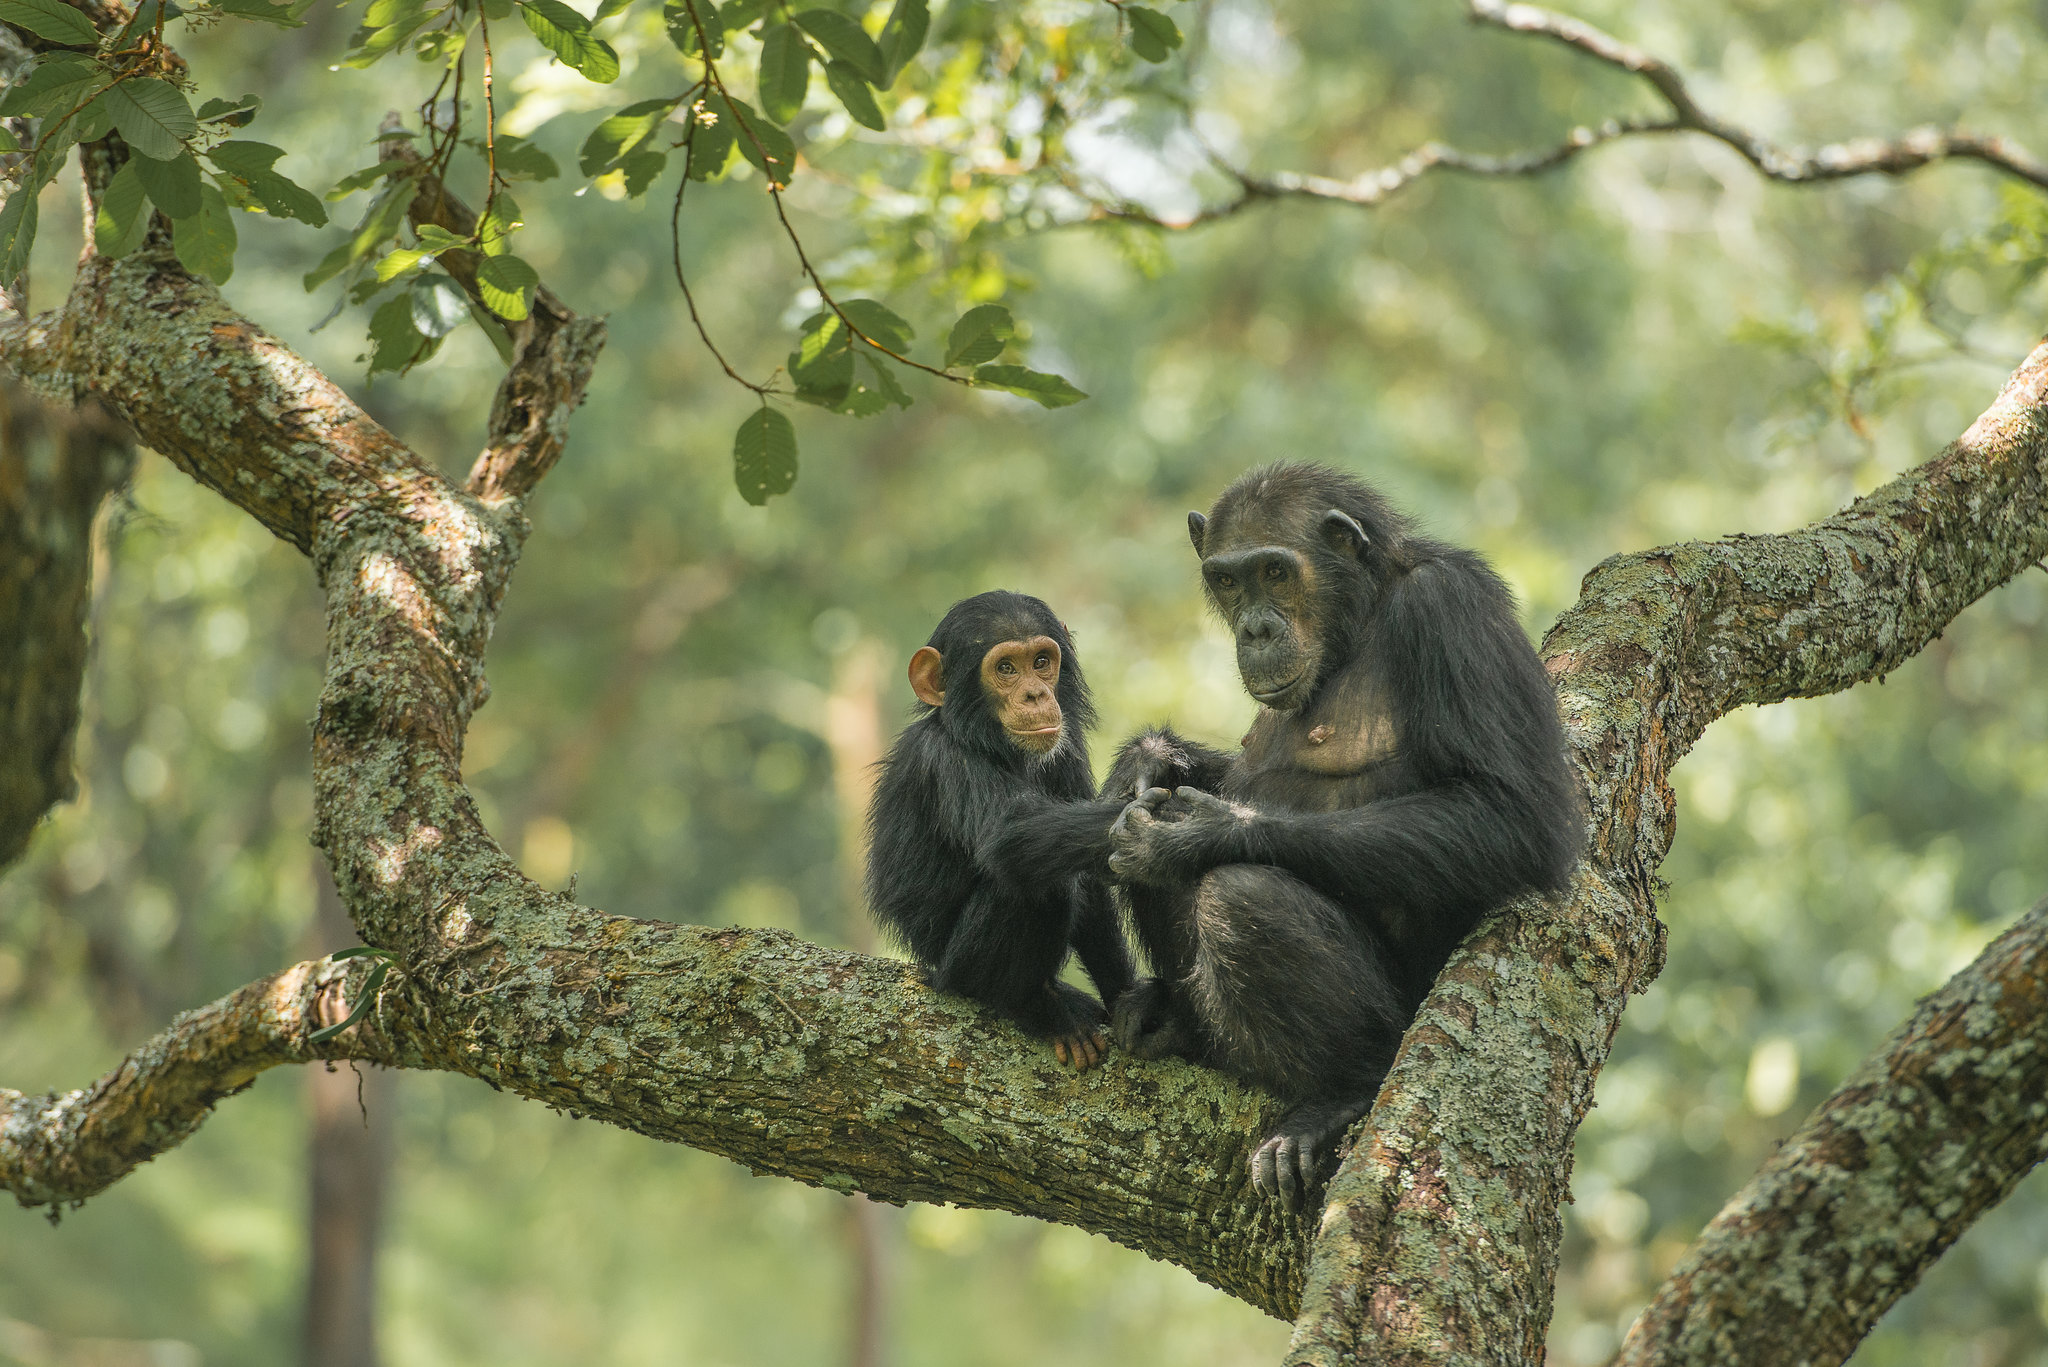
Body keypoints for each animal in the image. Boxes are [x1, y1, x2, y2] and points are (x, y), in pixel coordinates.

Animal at [864, 594, 1138, 1073]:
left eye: (1042, 662)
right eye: (1006, 668)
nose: (1035, 693)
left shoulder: (1066, 749)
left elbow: (1091, 880)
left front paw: (1135, 1005)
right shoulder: (943, 758)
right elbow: (1009, 834)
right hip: (956, 975)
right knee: (1036, 882)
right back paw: (1041, 1010)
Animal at [1105, 463, 1581, 1205]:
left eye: (1275, 571)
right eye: (1228, 580)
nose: (1255, 627)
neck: (1358, 619)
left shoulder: (1451, 609)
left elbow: (1509, 811)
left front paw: (1200, 833)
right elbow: (1217, 776)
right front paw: (1147, 759)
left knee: (1239, 898)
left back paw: (1342, 1093)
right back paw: (1176, 1021)